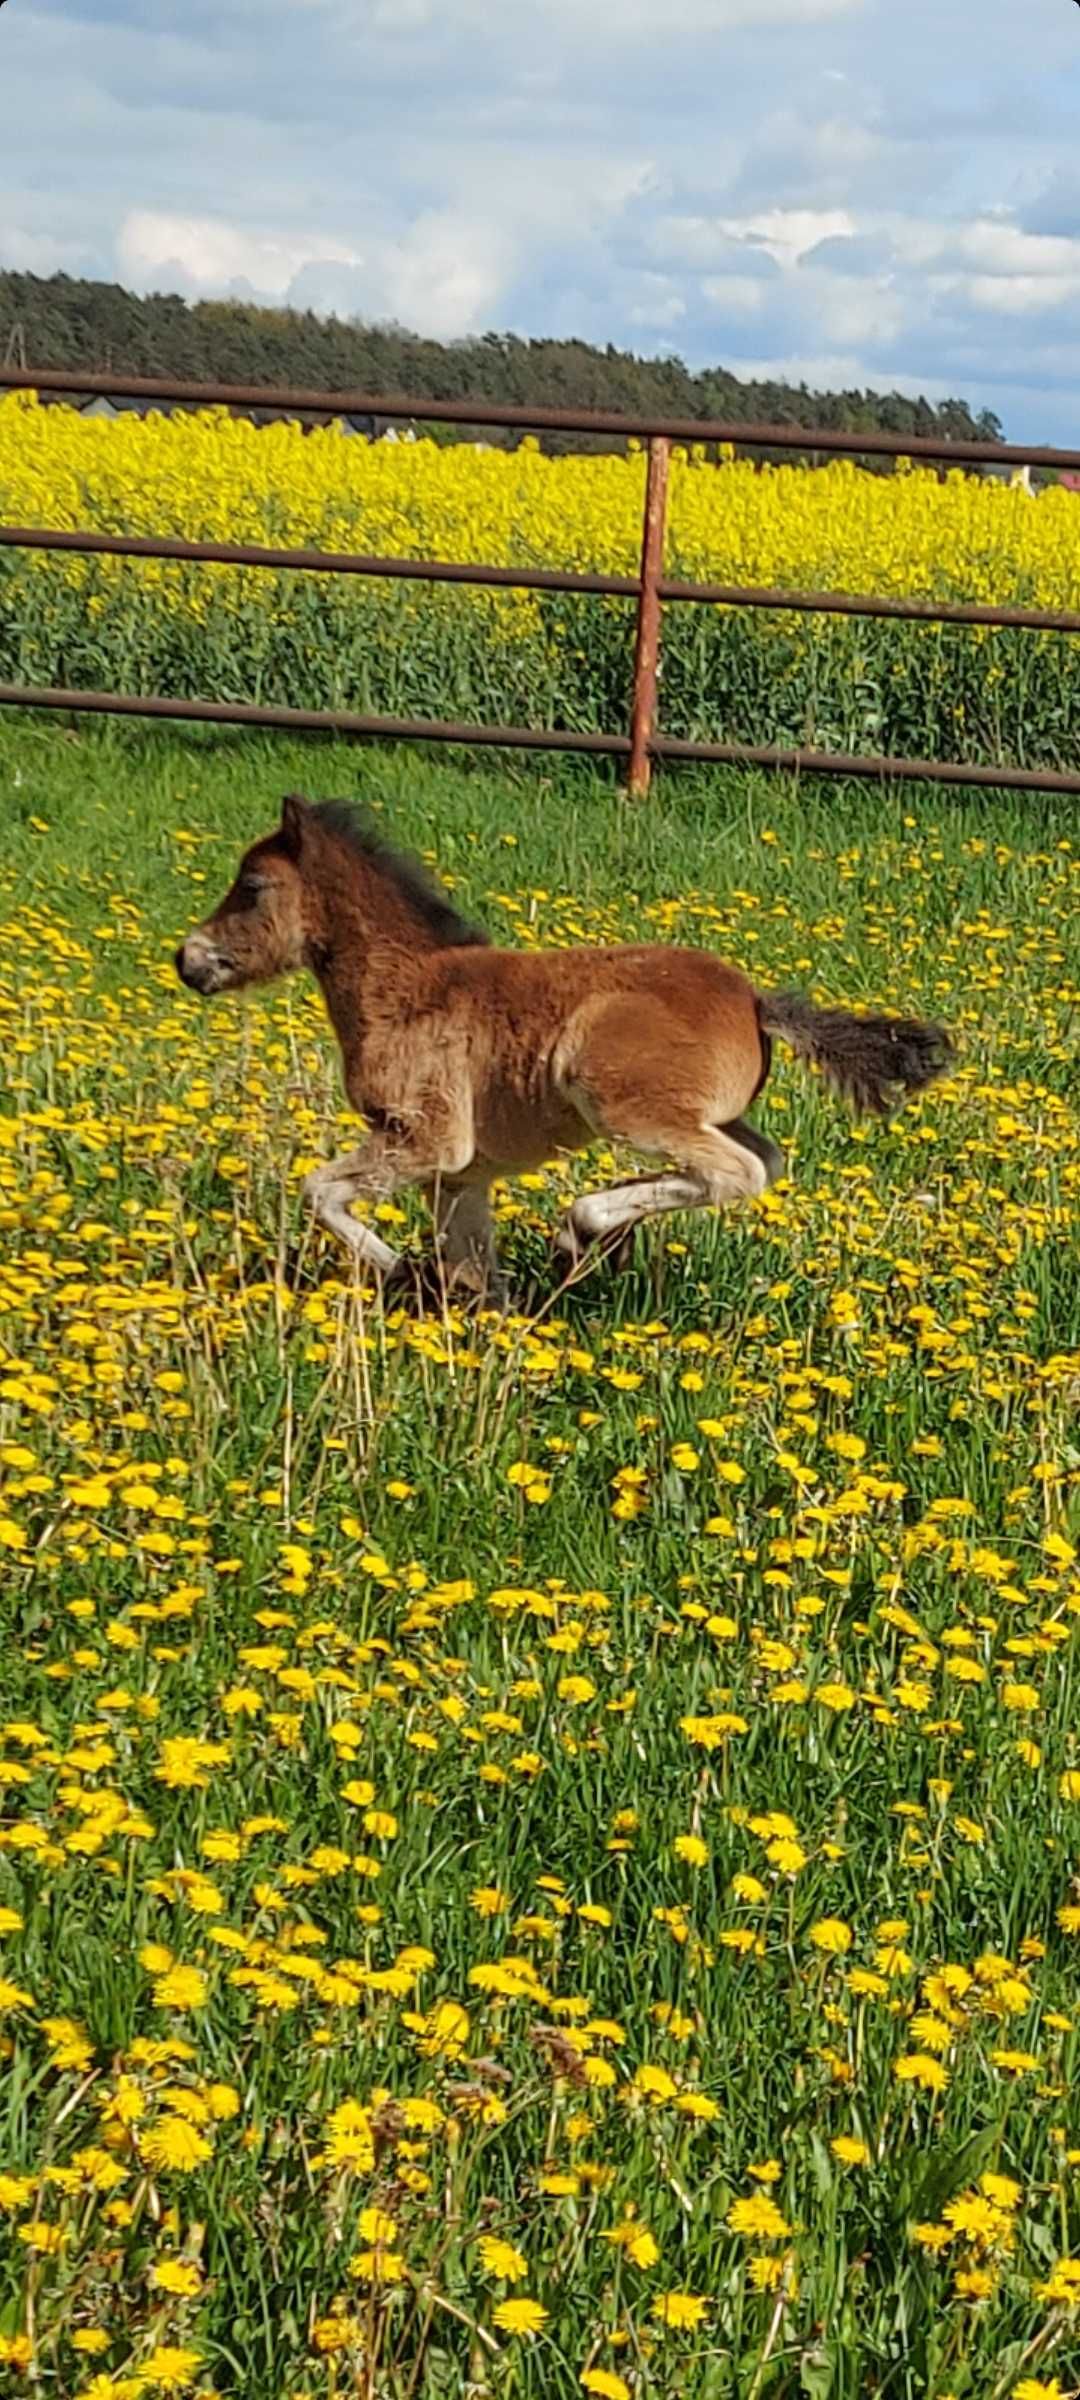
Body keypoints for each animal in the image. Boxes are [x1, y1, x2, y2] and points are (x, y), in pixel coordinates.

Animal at [177, 796, 955, 1296]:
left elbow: (318, 1190)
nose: (189, 960)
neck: (406, 990)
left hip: (621, 1098)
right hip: (711, 1112)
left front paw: (398, 1268)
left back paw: (580, 1230)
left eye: (252, 886)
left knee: (736, 1171)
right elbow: (475, 1272)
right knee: (762, 1160)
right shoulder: (461, 1177)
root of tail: (754, 1000)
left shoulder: (428, 1140)